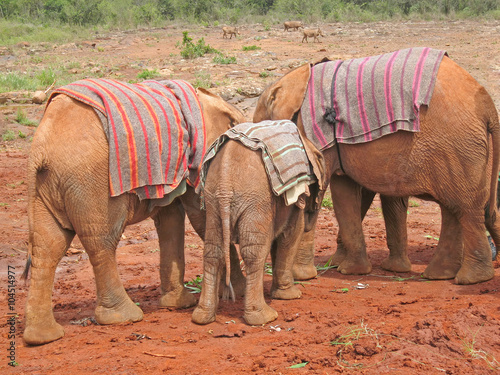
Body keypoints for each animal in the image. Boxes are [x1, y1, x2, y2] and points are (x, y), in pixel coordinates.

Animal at [189, 120, 322, 326]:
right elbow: (291, 234)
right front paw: (291, 296)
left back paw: (202, 318)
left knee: (213, 251)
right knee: (254, 252)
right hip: (256, 200)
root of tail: (225, 186)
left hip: (213, 201)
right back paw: (264, 318)